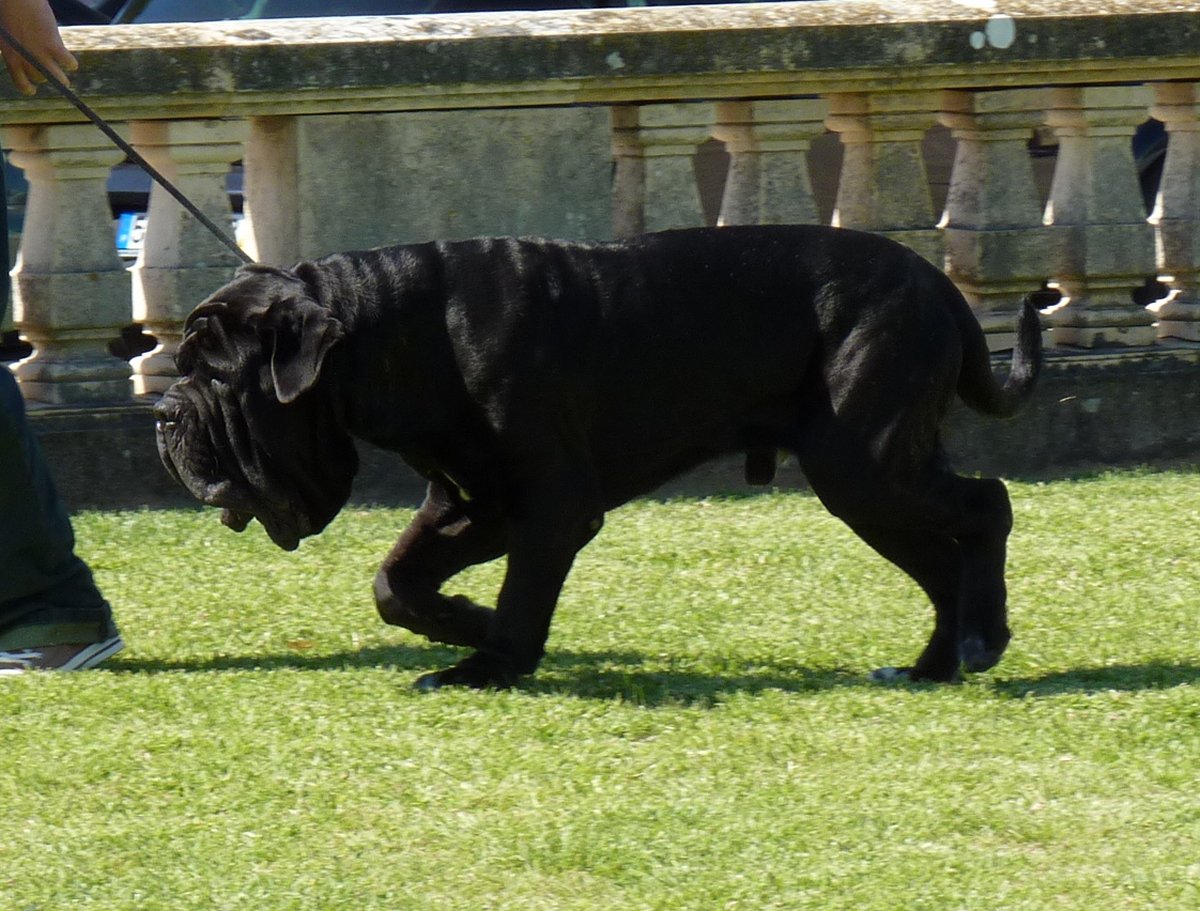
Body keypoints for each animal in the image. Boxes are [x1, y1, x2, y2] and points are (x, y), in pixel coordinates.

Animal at [155, 225, 1042, 690]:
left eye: (217, 373)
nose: (164, 412)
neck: (391, 332)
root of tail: (938, 282)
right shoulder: (470, 501)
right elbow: (395, 581)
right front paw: (464, 621)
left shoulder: (549, 505)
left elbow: (520, 595)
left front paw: (488, 663)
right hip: (868, 483)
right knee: (943, 560)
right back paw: (938, 661)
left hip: (865, 461)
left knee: (987, 505)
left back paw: (982, 637)